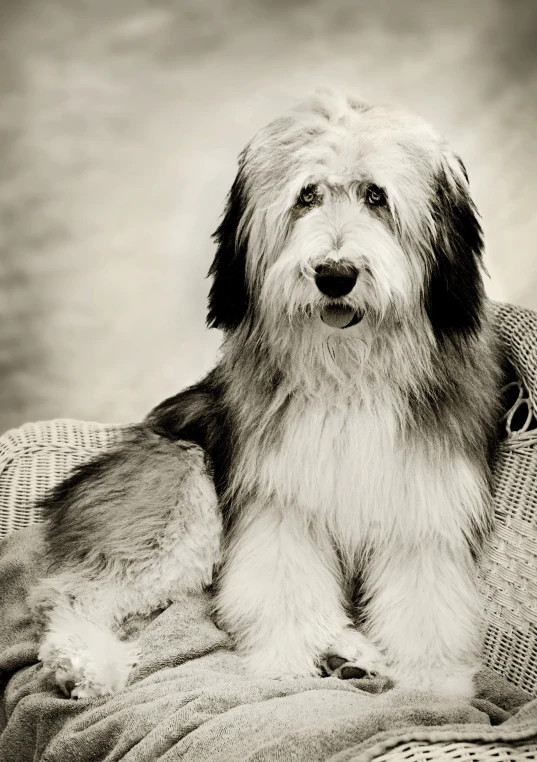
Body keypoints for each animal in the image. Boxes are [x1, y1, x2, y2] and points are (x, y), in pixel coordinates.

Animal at [30, 89, 502, 696]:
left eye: (376, 196)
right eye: (307, 195)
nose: (334, 274)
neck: (349, 372)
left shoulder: (422, 507)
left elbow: (426, 606)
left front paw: (431, 685)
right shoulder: (280, 503)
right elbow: (284, 587)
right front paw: (289, 660)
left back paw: (349, 655)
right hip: (178, 489)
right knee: (71, 591)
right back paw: (83, 662)